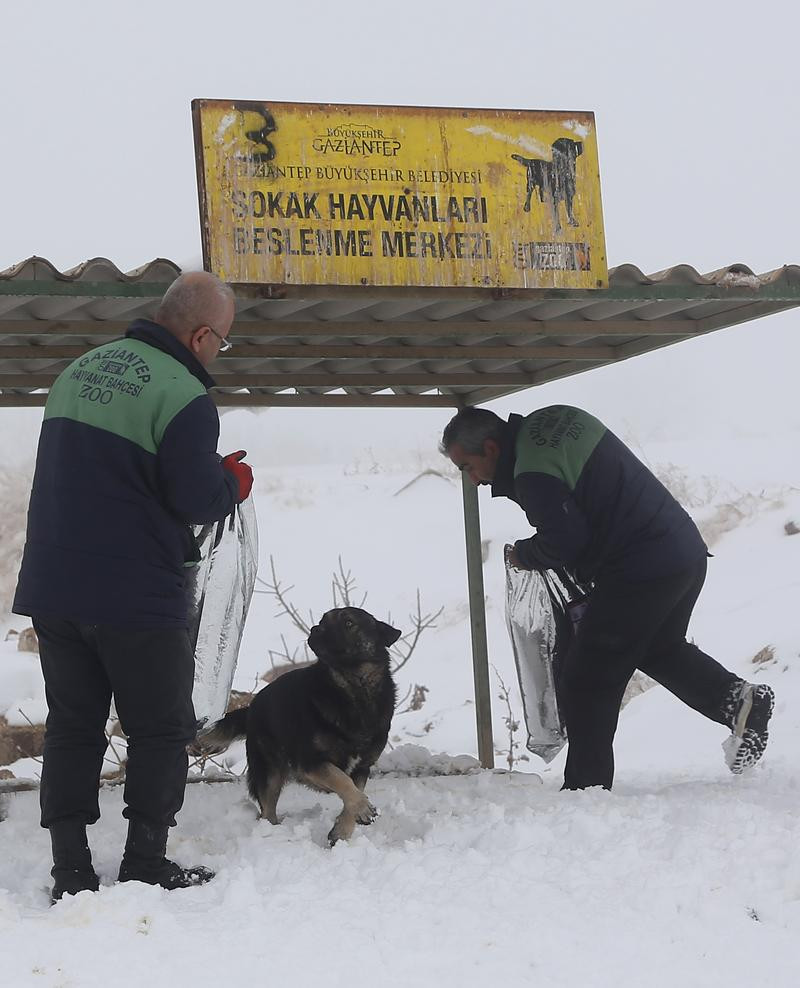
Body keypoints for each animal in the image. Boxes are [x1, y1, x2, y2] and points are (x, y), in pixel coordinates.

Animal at [199, 606, 401, 844]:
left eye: (349, 623)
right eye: (323, 620)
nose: (315, 629)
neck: (351, 690)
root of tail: (252, 707)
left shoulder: (361, 768)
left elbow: (352, 789)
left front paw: (342, 830)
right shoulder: (312, 762)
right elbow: (343, 781)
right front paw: (363, 808)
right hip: (270, 773)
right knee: (267, 811)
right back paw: (273, 833)